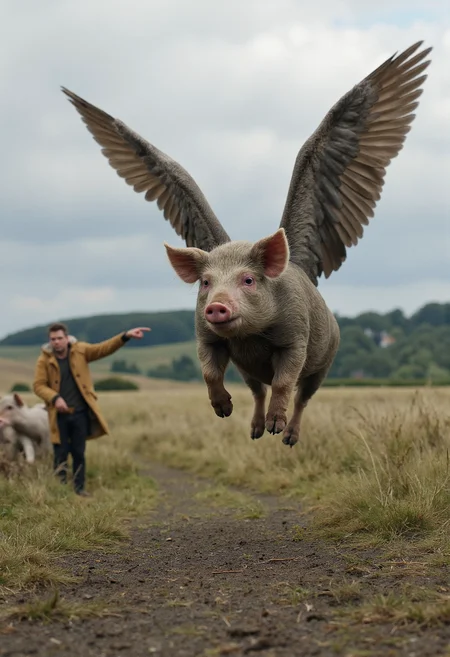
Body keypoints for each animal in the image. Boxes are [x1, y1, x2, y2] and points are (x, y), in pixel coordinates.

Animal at [61, 41, 431, 446]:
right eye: (206, 283)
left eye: (249, 280)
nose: (217, 305)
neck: (252, 336)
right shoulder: (207, 337)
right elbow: (209, 370)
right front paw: (224, 411)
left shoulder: (296, 340)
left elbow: (285, 381)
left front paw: (276, 427)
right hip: (250, 368)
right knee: (256, 389)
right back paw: (254, 432)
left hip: (326, 358)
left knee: (303, 395)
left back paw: (285, 437)